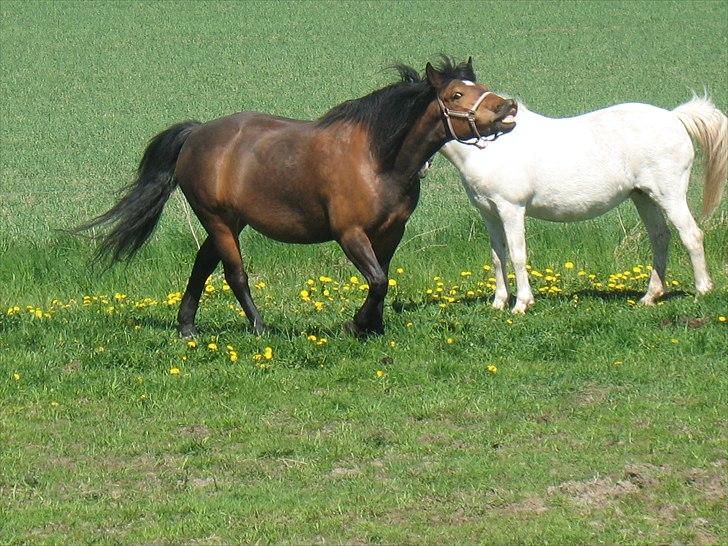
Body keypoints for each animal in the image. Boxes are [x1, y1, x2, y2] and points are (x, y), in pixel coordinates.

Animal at [81, 57, 516, 334]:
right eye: (457, 95)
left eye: (480, 86)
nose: (507, 107)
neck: (377, 158)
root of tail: (196, 133)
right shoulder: (349, 234)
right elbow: (377, 280)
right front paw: (355, 324)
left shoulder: (392, 232)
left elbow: (383, 278)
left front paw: (373, 327)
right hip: (217, 219)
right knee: (234, 274)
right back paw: (259, 327)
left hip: (229, 222)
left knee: (202, 265)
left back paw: (187, 327)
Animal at [438, 95, 728, 312]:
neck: (488, 146)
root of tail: (675, 117)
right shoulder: (490, 213)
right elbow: (498, 257)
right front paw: (499, 303)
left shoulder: (511, 210)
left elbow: (518, 255)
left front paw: (521, 304)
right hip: (643, 197)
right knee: (660, 237)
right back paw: (650, 296)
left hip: (669, 194)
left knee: (691, 235)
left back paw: (702, 291)